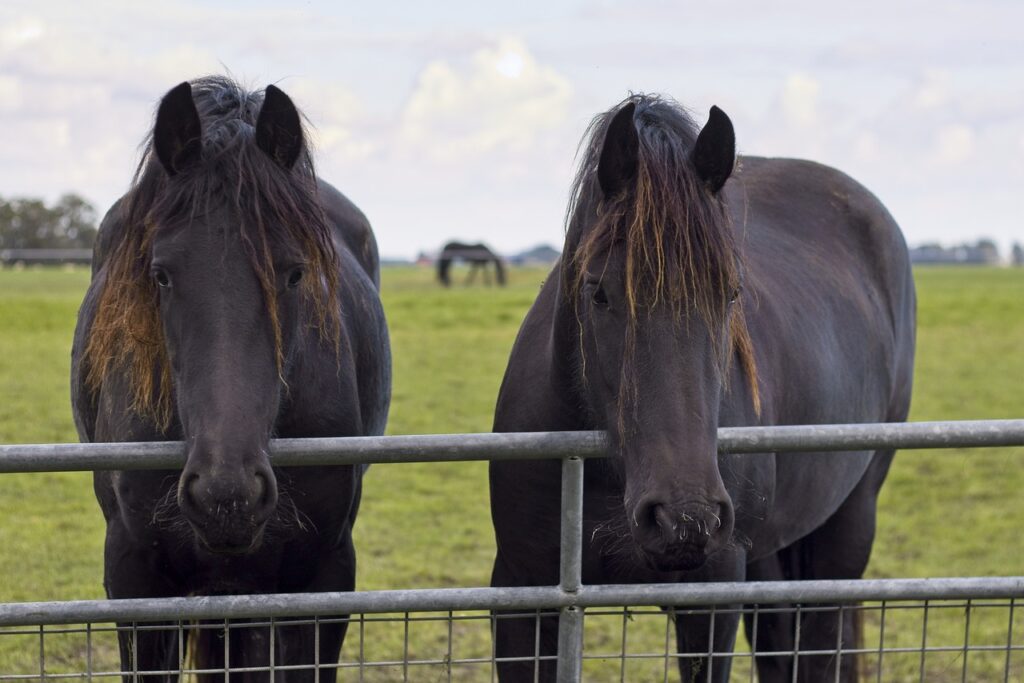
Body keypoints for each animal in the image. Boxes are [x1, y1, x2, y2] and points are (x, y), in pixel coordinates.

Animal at [489, 95, 915, 682]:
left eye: (731, 293)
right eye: (599, 293)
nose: (684, 520)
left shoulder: (710, 604)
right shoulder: (521, 597)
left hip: (846, 530)